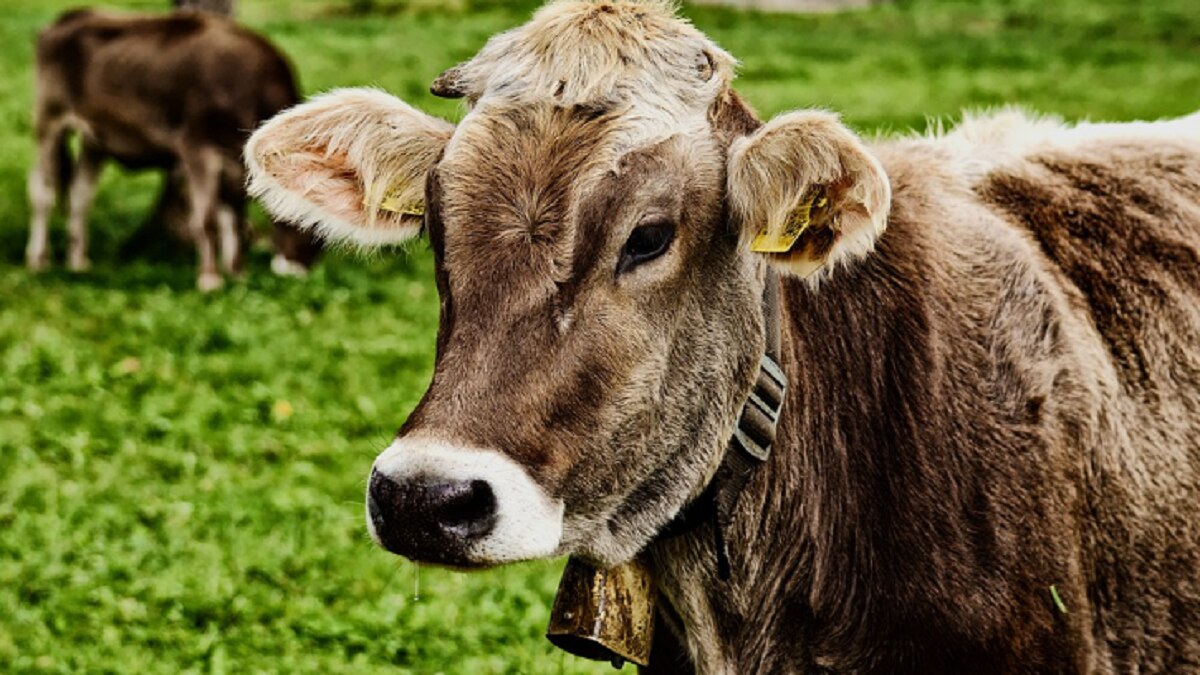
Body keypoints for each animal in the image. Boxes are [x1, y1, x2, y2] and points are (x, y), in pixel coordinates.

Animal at [26, 8, 321, 291]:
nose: (300, 269)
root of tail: (70, 16)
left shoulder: (235, 163)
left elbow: (234, 220)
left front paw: (237, 275)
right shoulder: (197, 148)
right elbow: (207, 219)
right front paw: (210, 279)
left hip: (94, 139)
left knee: (80, 194)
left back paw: (78, 261)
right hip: (50, 119)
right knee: (43, 190)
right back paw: (39, 260)